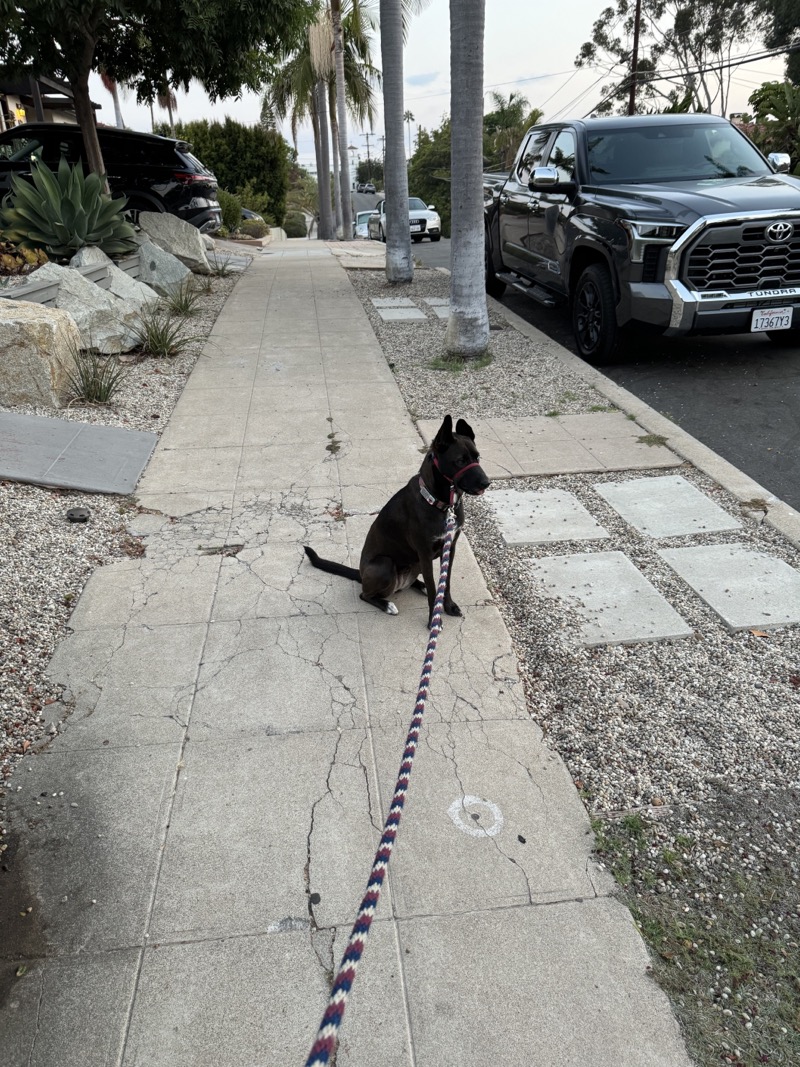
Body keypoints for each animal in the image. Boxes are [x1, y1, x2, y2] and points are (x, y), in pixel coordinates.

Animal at [305, 413, 488, 623]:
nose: (487, 482)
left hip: (415, 563)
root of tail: (361, 574)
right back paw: (387, 605)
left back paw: (419, 585)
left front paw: (448, 605)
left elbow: (445, 582)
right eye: (460, 461)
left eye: (477, 457)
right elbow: (434, 587)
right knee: (364, 594)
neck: (439, 503)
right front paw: (433, 619)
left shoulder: (450, 548)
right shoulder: (425, 553)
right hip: (385, 565)